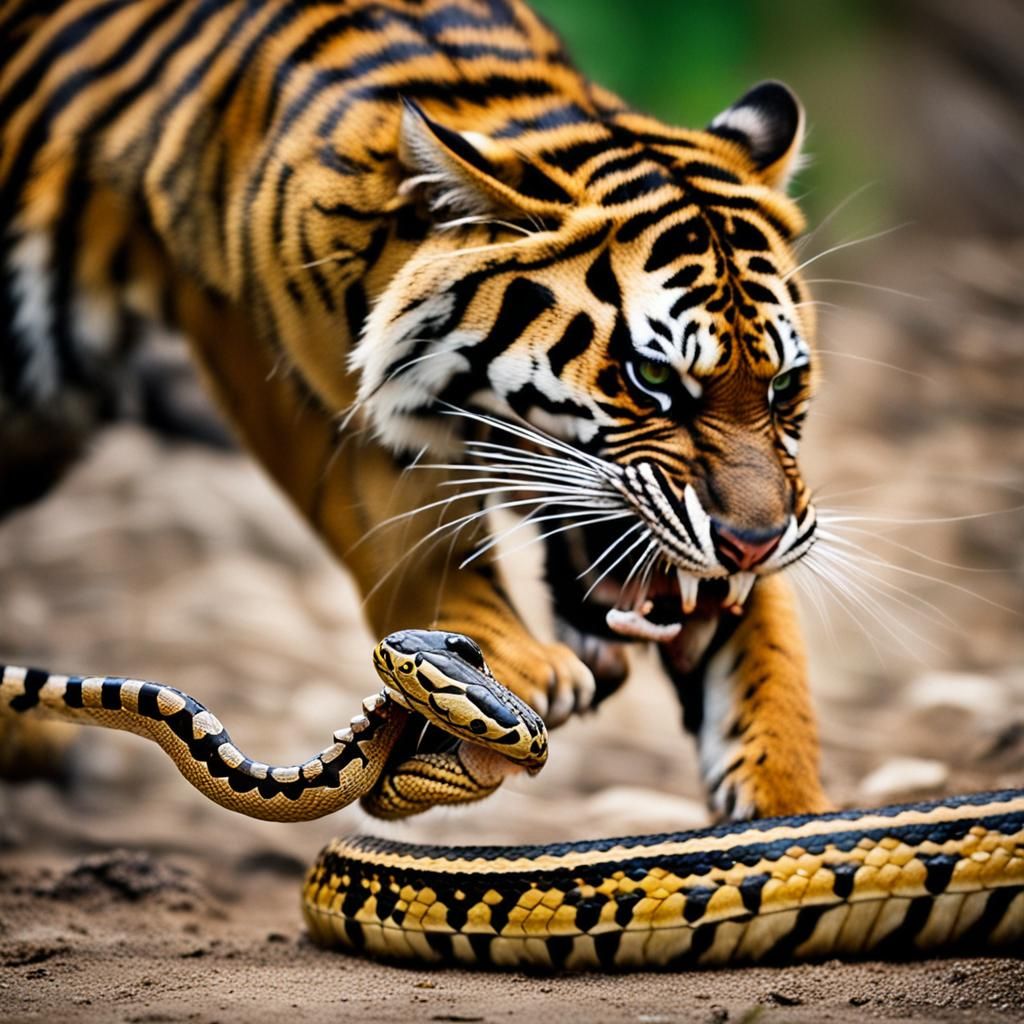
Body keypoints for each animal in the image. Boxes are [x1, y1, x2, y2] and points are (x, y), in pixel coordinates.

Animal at [0, 0, 826, 824]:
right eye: (652, 375)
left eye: (784, 386)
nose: (750, 543)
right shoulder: (271, 363)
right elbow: (404, 535)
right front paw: (524, 668)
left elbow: (768, 647)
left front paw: (791, 807)